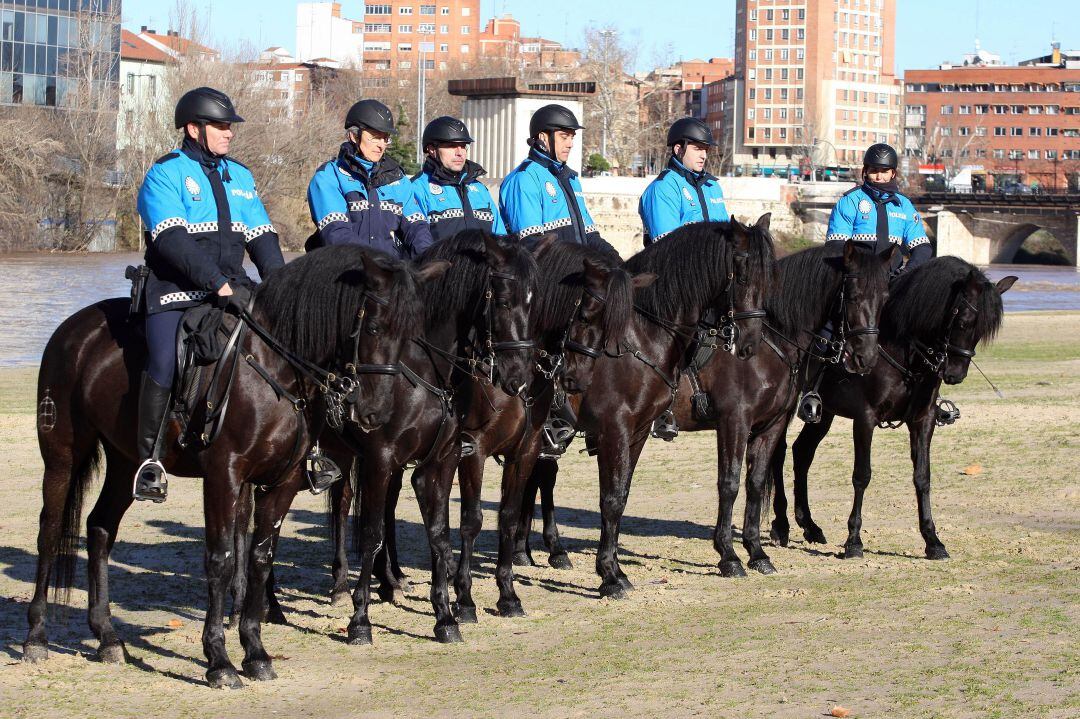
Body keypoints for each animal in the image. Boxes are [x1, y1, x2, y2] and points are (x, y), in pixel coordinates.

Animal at [21, 243, 436, 686]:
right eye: (373, 328)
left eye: (410, 334)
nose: (376, 412)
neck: (274, 365)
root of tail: (74, 327)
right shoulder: (224, 476)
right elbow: (220, 560)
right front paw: (218, 660)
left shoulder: (281, 482)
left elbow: (260, 557)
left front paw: (255, 652)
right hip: (62, 454)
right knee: (50, 531)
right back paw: (37, 637)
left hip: (123, 461)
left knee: (100, 528)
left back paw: (107, 638)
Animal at [514, 215, 777, 595]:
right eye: (742, 275)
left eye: (768, 275)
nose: (750, 343)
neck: (642, 338)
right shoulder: (614, 431)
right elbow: (610, 499)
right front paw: (610, 576)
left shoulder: (637, 433)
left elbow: (620, 496)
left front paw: (613, 569)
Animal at [773, 254, 1015, 557]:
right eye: (963, 321)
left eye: (982, 331)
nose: (955, 374)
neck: (903, 350)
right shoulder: (865, 418)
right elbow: (862, 475)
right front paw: (854, 540)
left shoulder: (923, 420)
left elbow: (922, 476)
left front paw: (932, 540)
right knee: (778, 452)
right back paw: (781, 525)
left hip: (824, 412)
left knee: (802, 452)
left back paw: (809, 525)